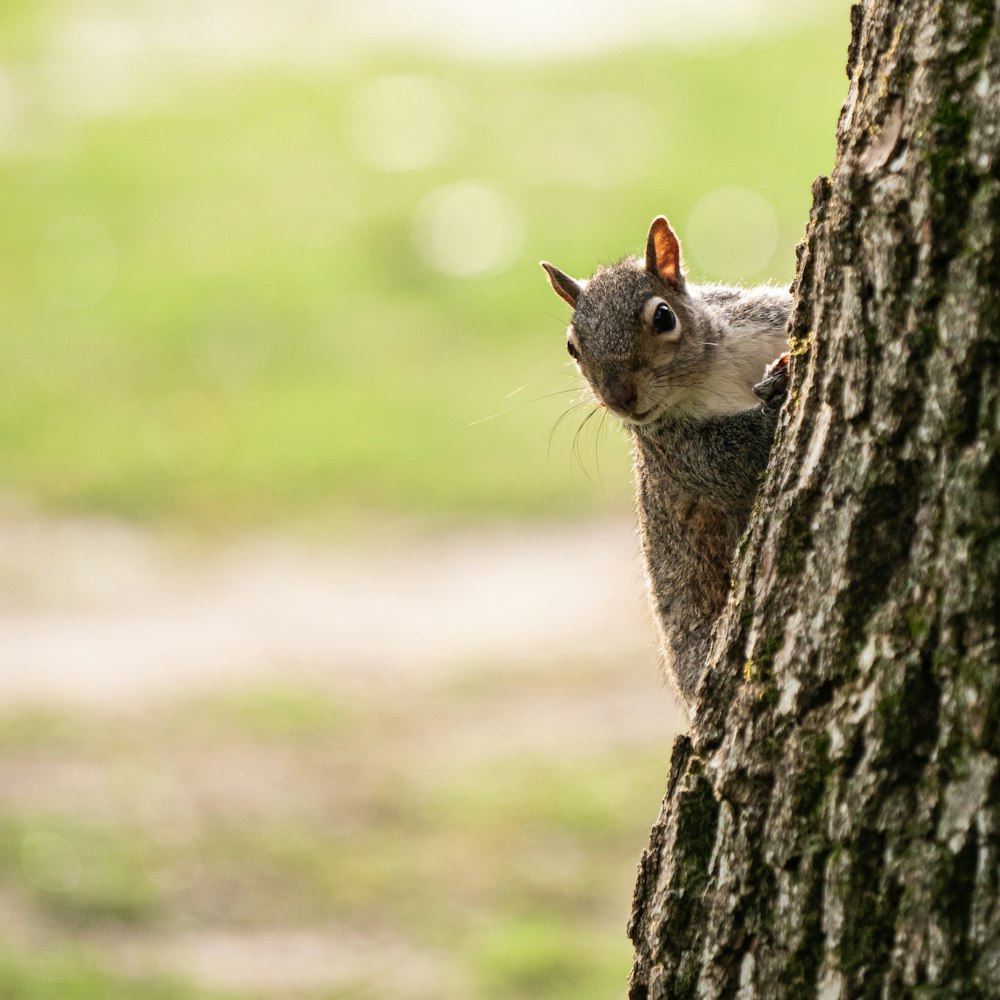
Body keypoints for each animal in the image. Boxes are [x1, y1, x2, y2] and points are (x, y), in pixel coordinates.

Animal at [540, 216, 788, 708]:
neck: (709, 373)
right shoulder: (677, 448)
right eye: (573, 347)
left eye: (663, 316)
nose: (619, 398)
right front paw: (777, 393)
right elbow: (733, 461)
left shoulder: (760, 316)